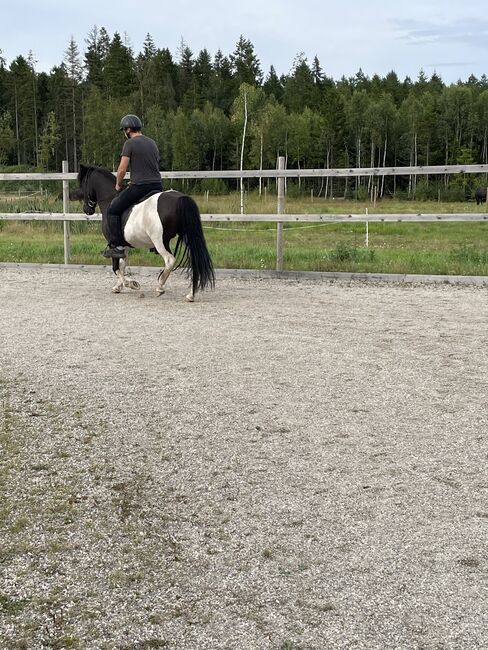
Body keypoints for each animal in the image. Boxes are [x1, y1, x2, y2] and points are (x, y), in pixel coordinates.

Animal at [78, 165, 215, 302]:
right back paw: (190, 294)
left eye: (83, 183)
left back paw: (160, 287)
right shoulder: (124, 246)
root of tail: (180, 198)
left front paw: (131, 284)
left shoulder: (113, 245)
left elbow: (116, 267)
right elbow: (122, 264)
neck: (110, 200)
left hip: (160, 241)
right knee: (195, 262)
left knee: (169, 260)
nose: (86, 209)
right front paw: (119, 286)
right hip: (187, 238)